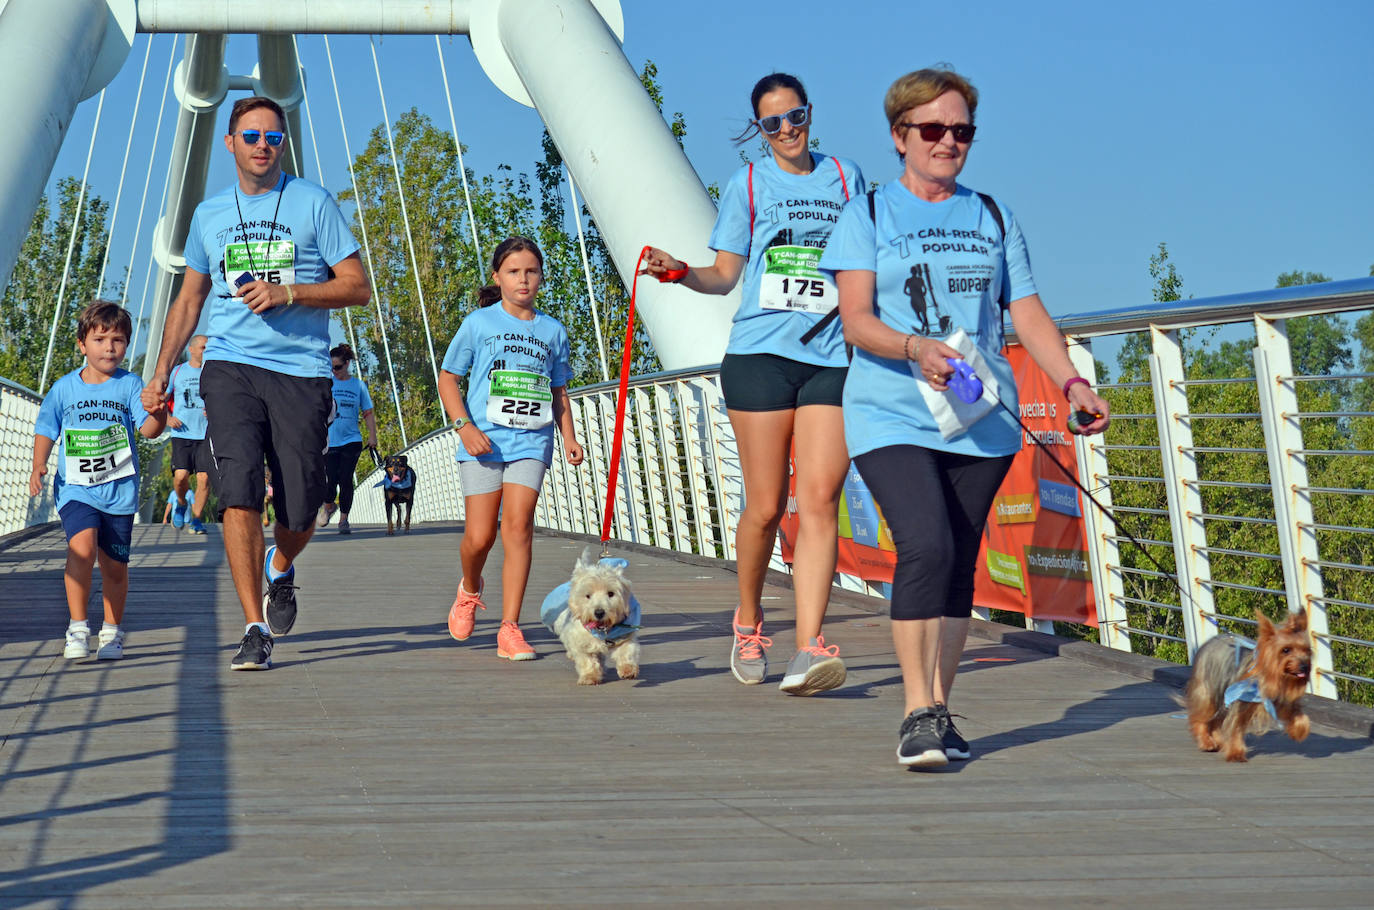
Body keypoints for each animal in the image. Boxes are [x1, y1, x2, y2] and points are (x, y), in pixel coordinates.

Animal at [538, 549, 640, 684]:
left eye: (611, 593)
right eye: (588, 595)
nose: (599, 612)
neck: (601, 632)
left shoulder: (625, 634)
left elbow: (626, 651)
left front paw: (628, 670)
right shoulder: (580, 642)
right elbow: (587, 660)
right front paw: (590, 676)